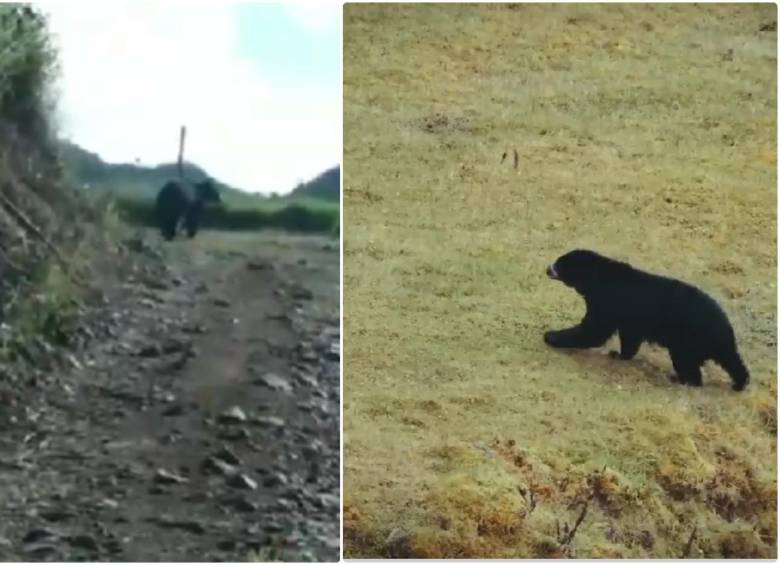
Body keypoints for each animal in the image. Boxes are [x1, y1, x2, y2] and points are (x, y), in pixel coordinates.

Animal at [543, 249, 750, 391]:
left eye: (560, 264)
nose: (547, 268)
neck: (597, 278)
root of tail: (725, 332)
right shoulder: (629, 319)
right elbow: (629, 338)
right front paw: (619, 354)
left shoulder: (607, 302)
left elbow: (594, 330)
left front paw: (551, 336)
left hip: (688, 341)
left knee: (687, 364)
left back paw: (682, 380)